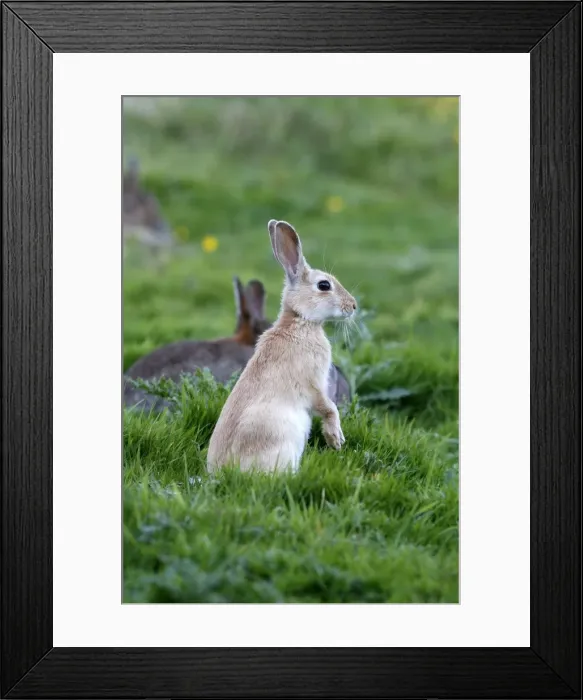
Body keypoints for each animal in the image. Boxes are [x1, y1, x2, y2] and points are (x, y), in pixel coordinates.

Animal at [207, 219, 357, 474]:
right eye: (324, 285)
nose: (353, 305)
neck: (300, 321)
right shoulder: (313, 383)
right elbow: (328, 408)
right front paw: (336, 439)